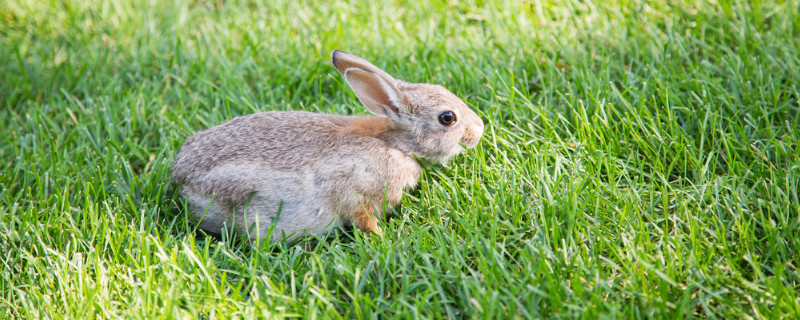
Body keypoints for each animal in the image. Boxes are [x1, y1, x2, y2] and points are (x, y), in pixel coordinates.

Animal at [172, 50, 484, 242]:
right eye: (447, 118)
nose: (479, 129)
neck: (394, 143)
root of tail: (179, 177)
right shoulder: (355, 191)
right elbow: (363, 219)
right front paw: (385, 239)